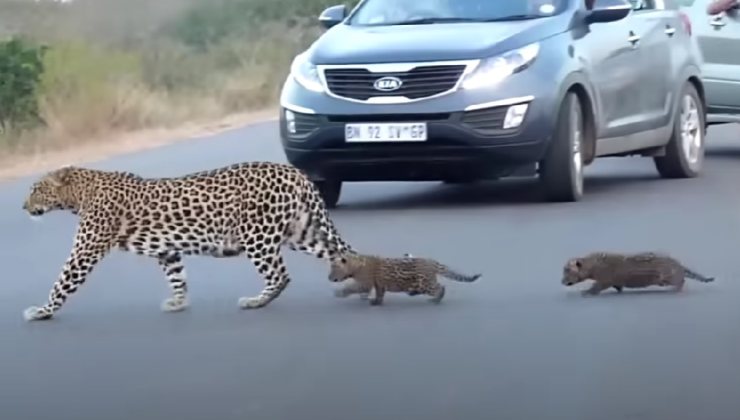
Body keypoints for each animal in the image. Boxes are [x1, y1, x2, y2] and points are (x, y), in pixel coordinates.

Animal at [21, 162, 356, 322]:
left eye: (36, 189)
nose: (23, 207)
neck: (79, 194)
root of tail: (294, 172)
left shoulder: (85, 251)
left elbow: (62, 282)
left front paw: (42, 311)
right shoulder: (166, 250)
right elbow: (177, 277)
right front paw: (179, 303)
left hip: (258, 236)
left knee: (280, 275)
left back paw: (255, 301)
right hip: (302, 231)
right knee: (342, 253)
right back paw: (358, 285)